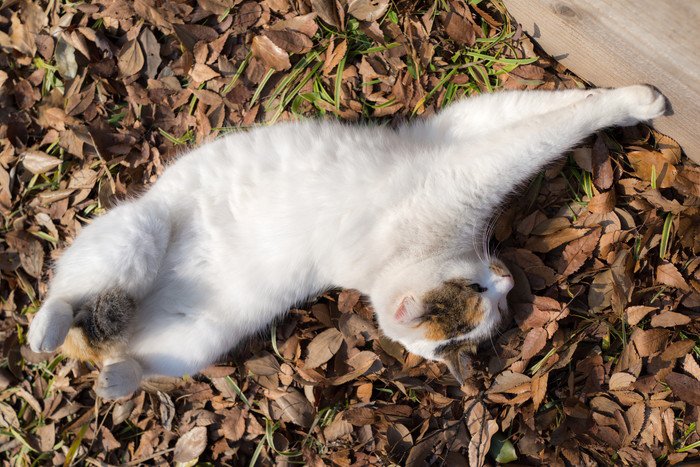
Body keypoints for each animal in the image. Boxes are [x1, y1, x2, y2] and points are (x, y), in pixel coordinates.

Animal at [27, 84, 668, 398]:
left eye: (498, 296)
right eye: (478, 292)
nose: (508, 280)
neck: (387, 267)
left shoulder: (461, 127)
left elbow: (539, 105)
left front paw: (625, 92)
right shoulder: (468, 167)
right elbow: (547, 130)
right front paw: (632, 101)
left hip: (197, 341)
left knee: (138, 362)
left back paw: (115, 380)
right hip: (140, 230)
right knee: (65, 298)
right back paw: (48, 331)